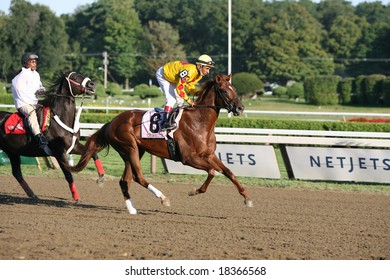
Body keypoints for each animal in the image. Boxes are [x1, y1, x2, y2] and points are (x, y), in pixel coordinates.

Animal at [0, 70, 104, 201]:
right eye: (75, 77)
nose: (92, 84)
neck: (61, 118)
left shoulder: (73, 146)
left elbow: (93, 153)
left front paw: (101, 177)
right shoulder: (59, 151)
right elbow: (68, 175)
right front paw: (76, 196)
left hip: (12, 152)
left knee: (17, 173)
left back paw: (32, 194)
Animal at [69, 73, 254, 213]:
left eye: (234, 89)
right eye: (223, 90)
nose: (240, 108)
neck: (199, 122)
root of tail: (111, 122)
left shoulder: (209, 155)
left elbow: (228, 172)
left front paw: (247, 198)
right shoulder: (188, 158)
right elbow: (212, 172)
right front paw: (194, 191)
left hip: (134, 151)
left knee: (125, 180)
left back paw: (132, 209)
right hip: (130, 148)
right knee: (138, 177)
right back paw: (163, 198)